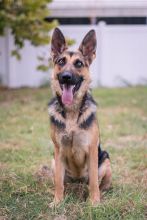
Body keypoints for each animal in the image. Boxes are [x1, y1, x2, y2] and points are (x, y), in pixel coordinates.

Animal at [48, 28, 111, 205]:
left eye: (78, 63)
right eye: (61, 61)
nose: (66, 77)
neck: (72, 111)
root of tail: (78, 182)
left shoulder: (92, 150)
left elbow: (94, 182)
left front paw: (94, 202)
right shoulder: (58, 150)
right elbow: (58, 182)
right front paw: (57, 201)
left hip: (105, 159)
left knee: (100, 183)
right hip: (53, 162)